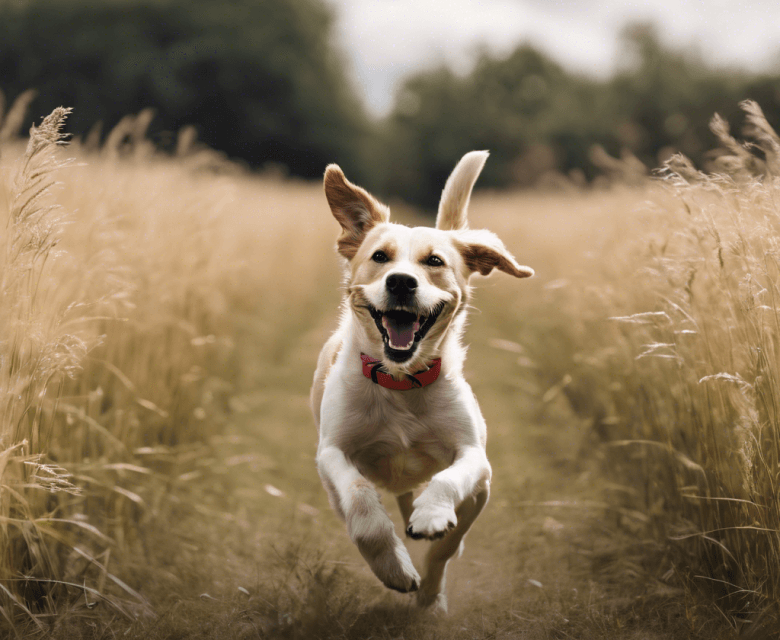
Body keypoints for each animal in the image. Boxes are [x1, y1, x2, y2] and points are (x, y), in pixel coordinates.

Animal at [310, 151, 536, 616]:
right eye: (380, 256)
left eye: (435, 262)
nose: (401, 281)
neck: (400, 383)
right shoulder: (332, 453)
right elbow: (361, 503)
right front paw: (395, 570)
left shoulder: (476, 463)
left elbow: (447, 514)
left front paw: (431, 539)